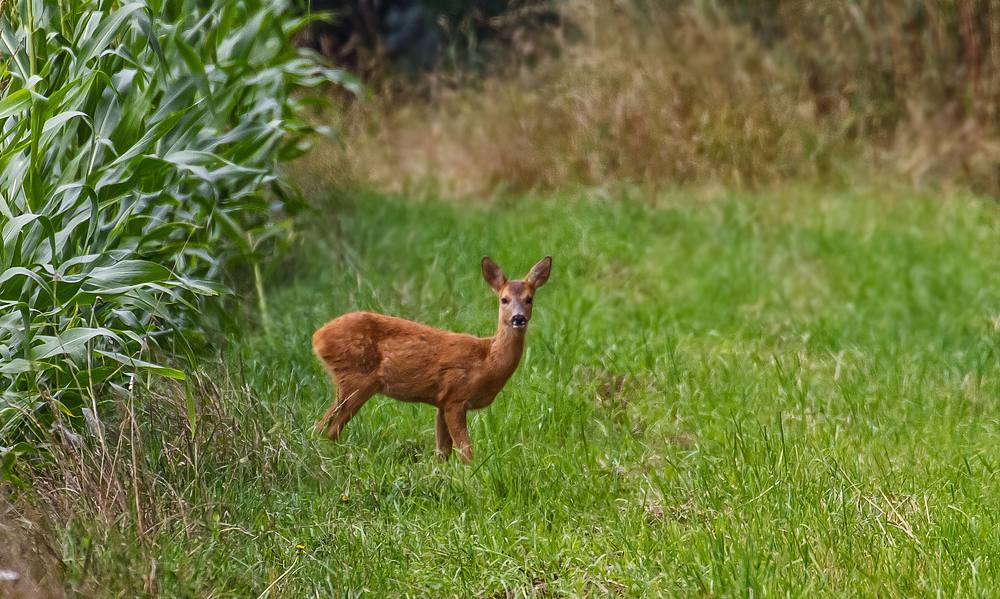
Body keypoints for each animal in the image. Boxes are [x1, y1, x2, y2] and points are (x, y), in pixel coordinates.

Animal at [310, 255, 552, 462]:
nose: (518, 318)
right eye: (504, 299)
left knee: (320, 427)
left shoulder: (441, 402)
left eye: (529, 299)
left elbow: (442, 452)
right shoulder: (456, 396)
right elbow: (466, 452)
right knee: (329, 429)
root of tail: (317, 337)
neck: (486, 361)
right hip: (357, 380)